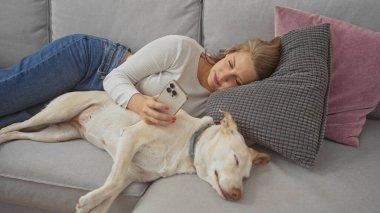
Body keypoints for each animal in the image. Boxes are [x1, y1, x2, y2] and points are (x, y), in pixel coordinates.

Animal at [0, 90, 270, 212]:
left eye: (246, 178)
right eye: (235, 160)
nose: (237, 196)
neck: (188, 144)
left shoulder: (130, 175)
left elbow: (108, 196)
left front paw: (92, 203)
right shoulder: (130, 139)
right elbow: (110, 182)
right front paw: (86, 201)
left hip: (57, 134)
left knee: (19, 134)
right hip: (57, 113)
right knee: (15, 125)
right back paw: (1, 134)